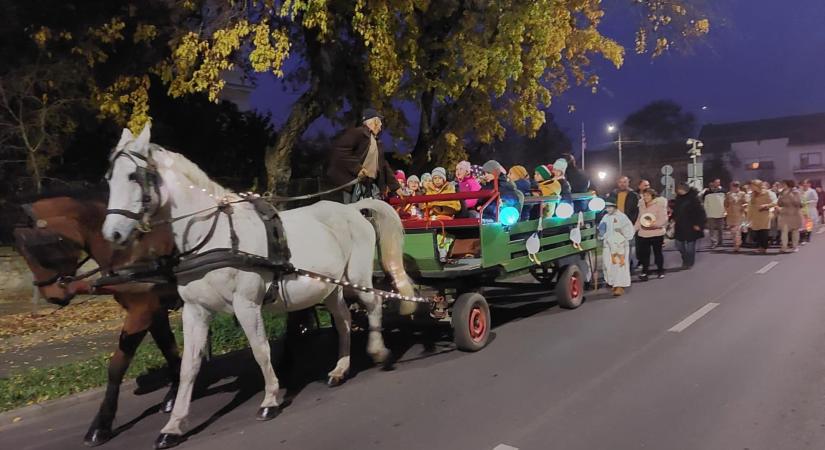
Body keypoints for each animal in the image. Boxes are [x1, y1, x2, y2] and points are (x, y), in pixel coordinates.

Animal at [14, 192, 182, 446]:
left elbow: (116, 367)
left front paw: (100, 426)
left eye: (42, 248)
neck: (130, 252)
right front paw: (174, 394)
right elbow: (169, 348)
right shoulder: (155, 312)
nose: (52, 297)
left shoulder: (141, 312)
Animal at [101, 125, 412, 450]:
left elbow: (260, 350)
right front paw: (173, 426)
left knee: (373, 305)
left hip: (358, 278)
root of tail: (352, 209)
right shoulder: (195, 311)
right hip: (331, 288)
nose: (113, 234)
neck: (214, 237)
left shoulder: (246, 304)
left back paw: (378, 351)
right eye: (109, 178)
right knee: (344, 321)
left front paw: (271, 399)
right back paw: (340, 369)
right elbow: (189, 367)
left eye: (133, 176)